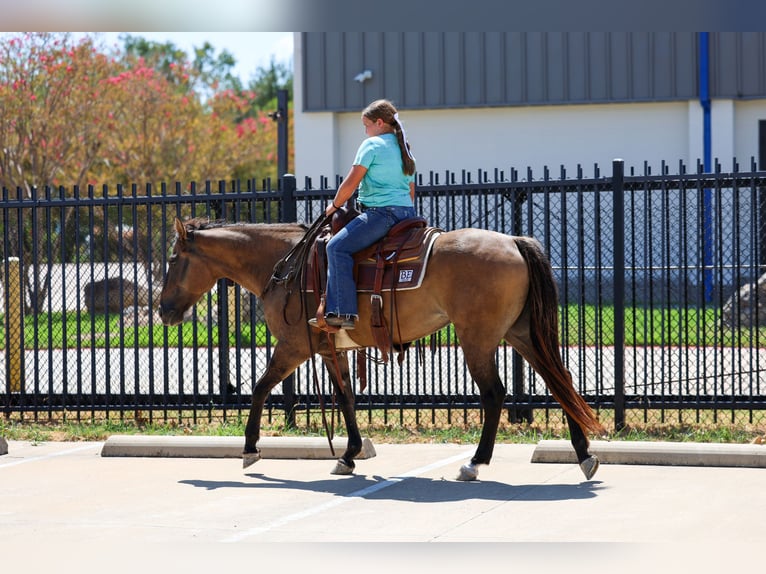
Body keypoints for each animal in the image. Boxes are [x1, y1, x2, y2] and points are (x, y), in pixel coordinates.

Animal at [158, 216, 604, 481]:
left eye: (173, 259)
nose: (163, 310)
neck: (285, 265)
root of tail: (513, 241)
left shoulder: (294, 346)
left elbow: (261, 387)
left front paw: (250, 448)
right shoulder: (330, 349)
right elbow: (345, 398)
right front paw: (349, 453)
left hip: (478, 338)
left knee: (495, 394)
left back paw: (476, 462)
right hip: (520, 333)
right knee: (559, 379)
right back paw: (583, 454)